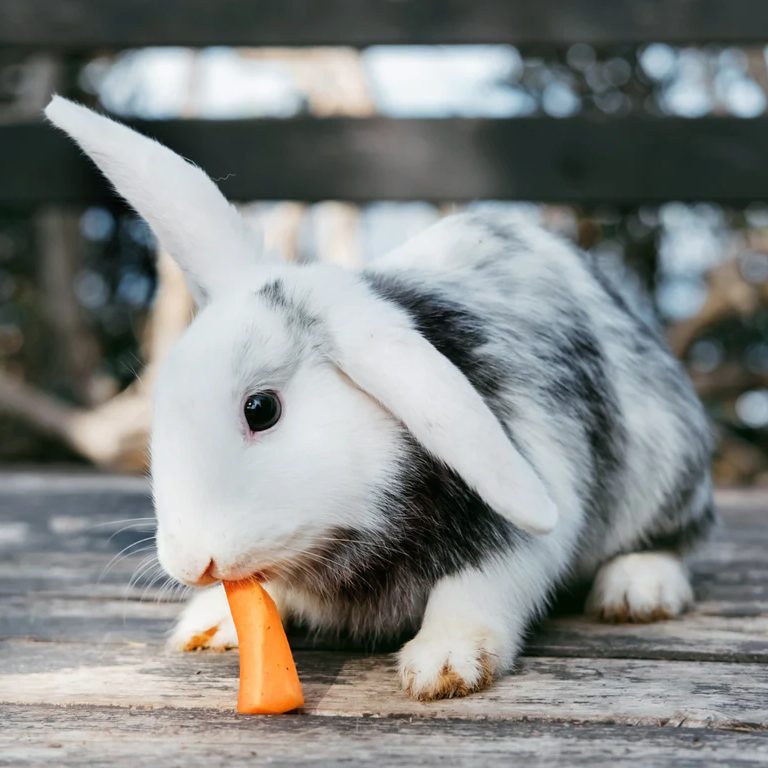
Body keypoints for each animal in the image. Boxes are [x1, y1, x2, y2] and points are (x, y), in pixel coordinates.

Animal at [46, 96, 712, 704]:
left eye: (261, 409)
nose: (192, 565)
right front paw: (208, 622)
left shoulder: (532, 500)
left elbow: (482, 585)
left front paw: (444, 664)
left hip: (663, 468)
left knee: (676, 537)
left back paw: (637, 591)